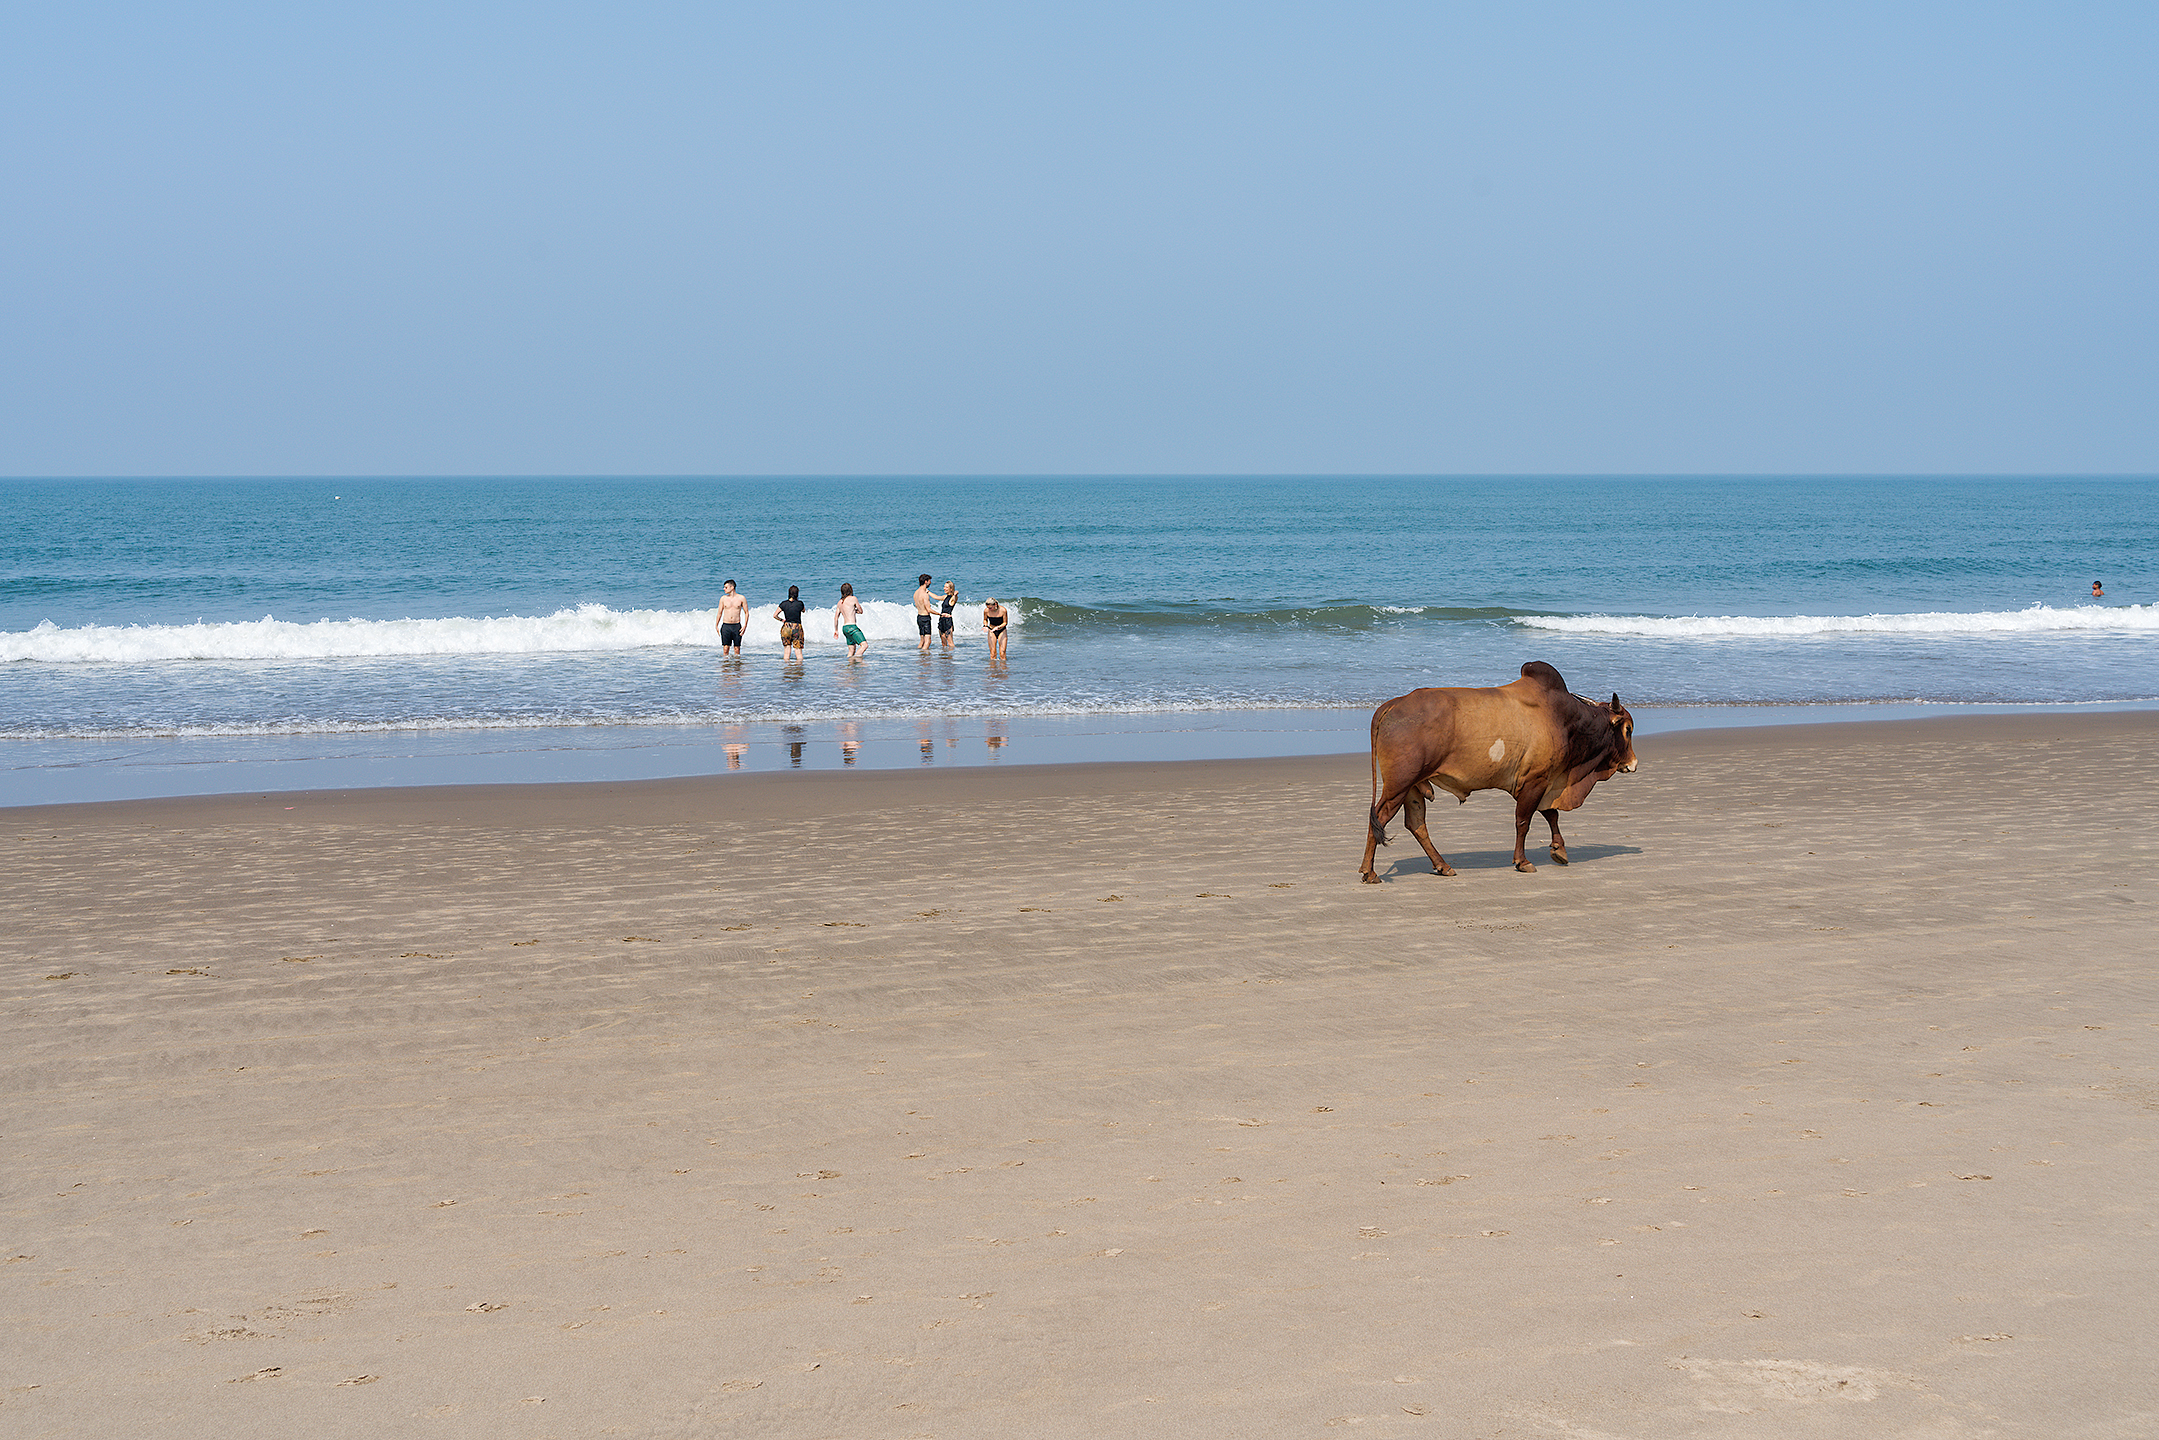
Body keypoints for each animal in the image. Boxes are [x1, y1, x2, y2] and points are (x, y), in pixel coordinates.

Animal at [1359, 661, 1637, 884]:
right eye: (1628, 729)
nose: (1633, 763)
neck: (1565, 719)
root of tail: (1393, 704)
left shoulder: (1542, 781)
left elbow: (1551, 814)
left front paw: (1559, 850)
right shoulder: (1536, 780)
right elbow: (1524, 821)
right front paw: (1523, 861)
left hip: (1412, 787)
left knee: (1416, 824)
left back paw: (1442, 866)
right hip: (1398, 785)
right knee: (1379, 818)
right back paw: (1370, 872)